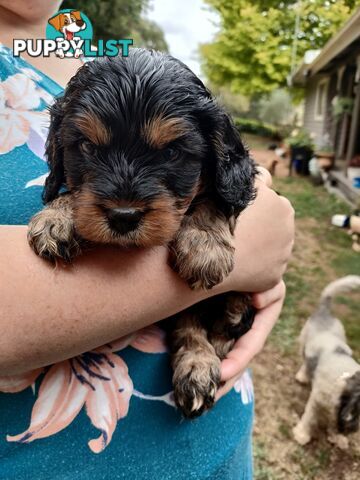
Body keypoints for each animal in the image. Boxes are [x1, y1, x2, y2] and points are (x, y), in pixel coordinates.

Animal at [28, 47, 258, 416]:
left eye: (172, 152)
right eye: (87, 147)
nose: (124, 216)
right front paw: (57, 217)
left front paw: (205, 246)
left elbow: (213, 199)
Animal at [292, 276, 360, 448]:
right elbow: (309, 418)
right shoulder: (316, 401)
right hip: (303, 343)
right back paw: (303, 376)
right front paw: (301, 435)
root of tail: (325, 312)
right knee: (304, 362)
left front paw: (337, 438)